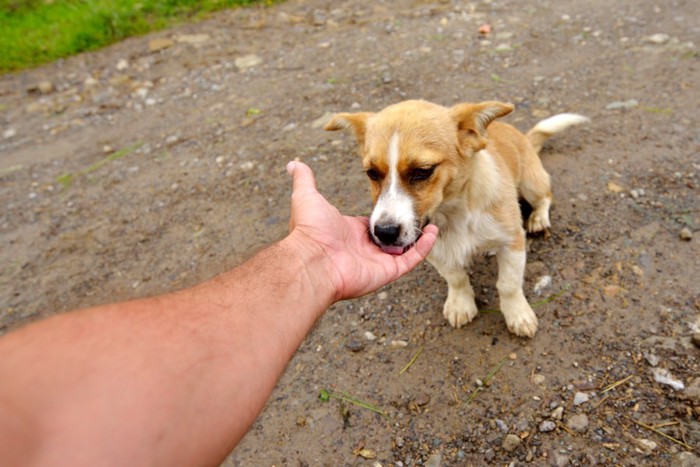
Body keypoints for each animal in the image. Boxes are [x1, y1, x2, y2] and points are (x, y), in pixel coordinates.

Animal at [326, 100, 588, 338]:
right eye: (371, 173)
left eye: (423, 171)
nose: (384, 233)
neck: (455, 214)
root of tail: (523, 136)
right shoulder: (435, 248)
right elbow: (456, 278)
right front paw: (461, 304)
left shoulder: (512, 241)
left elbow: (509, 284)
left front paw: (517, 314)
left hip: (531, 183)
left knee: (546, 195)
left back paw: (538, 218)